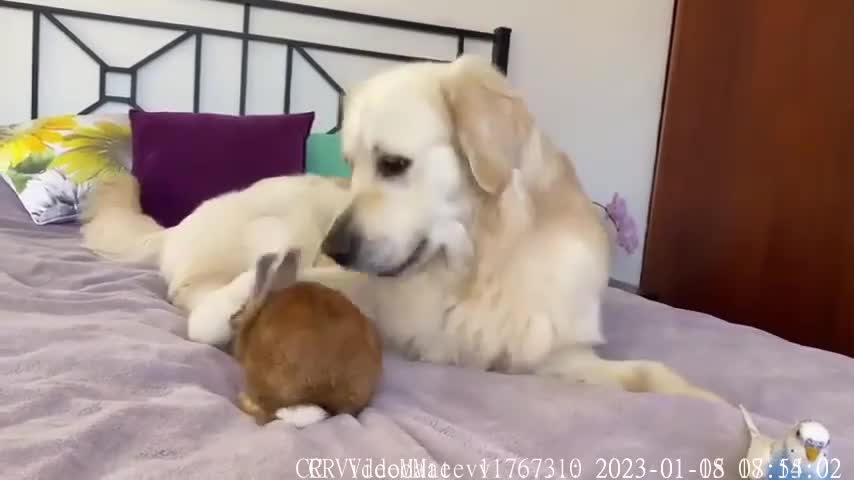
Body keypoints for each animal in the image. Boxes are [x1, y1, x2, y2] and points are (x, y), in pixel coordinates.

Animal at [78, 54, 724, 404]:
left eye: (391, 163)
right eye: (351, 165)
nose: (333, 248)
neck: (477, 268)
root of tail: (175, 225)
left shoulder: (553, 357)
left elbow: (656, 375)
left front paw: (716, 409)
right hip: (276, 215)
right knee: (197, 295)